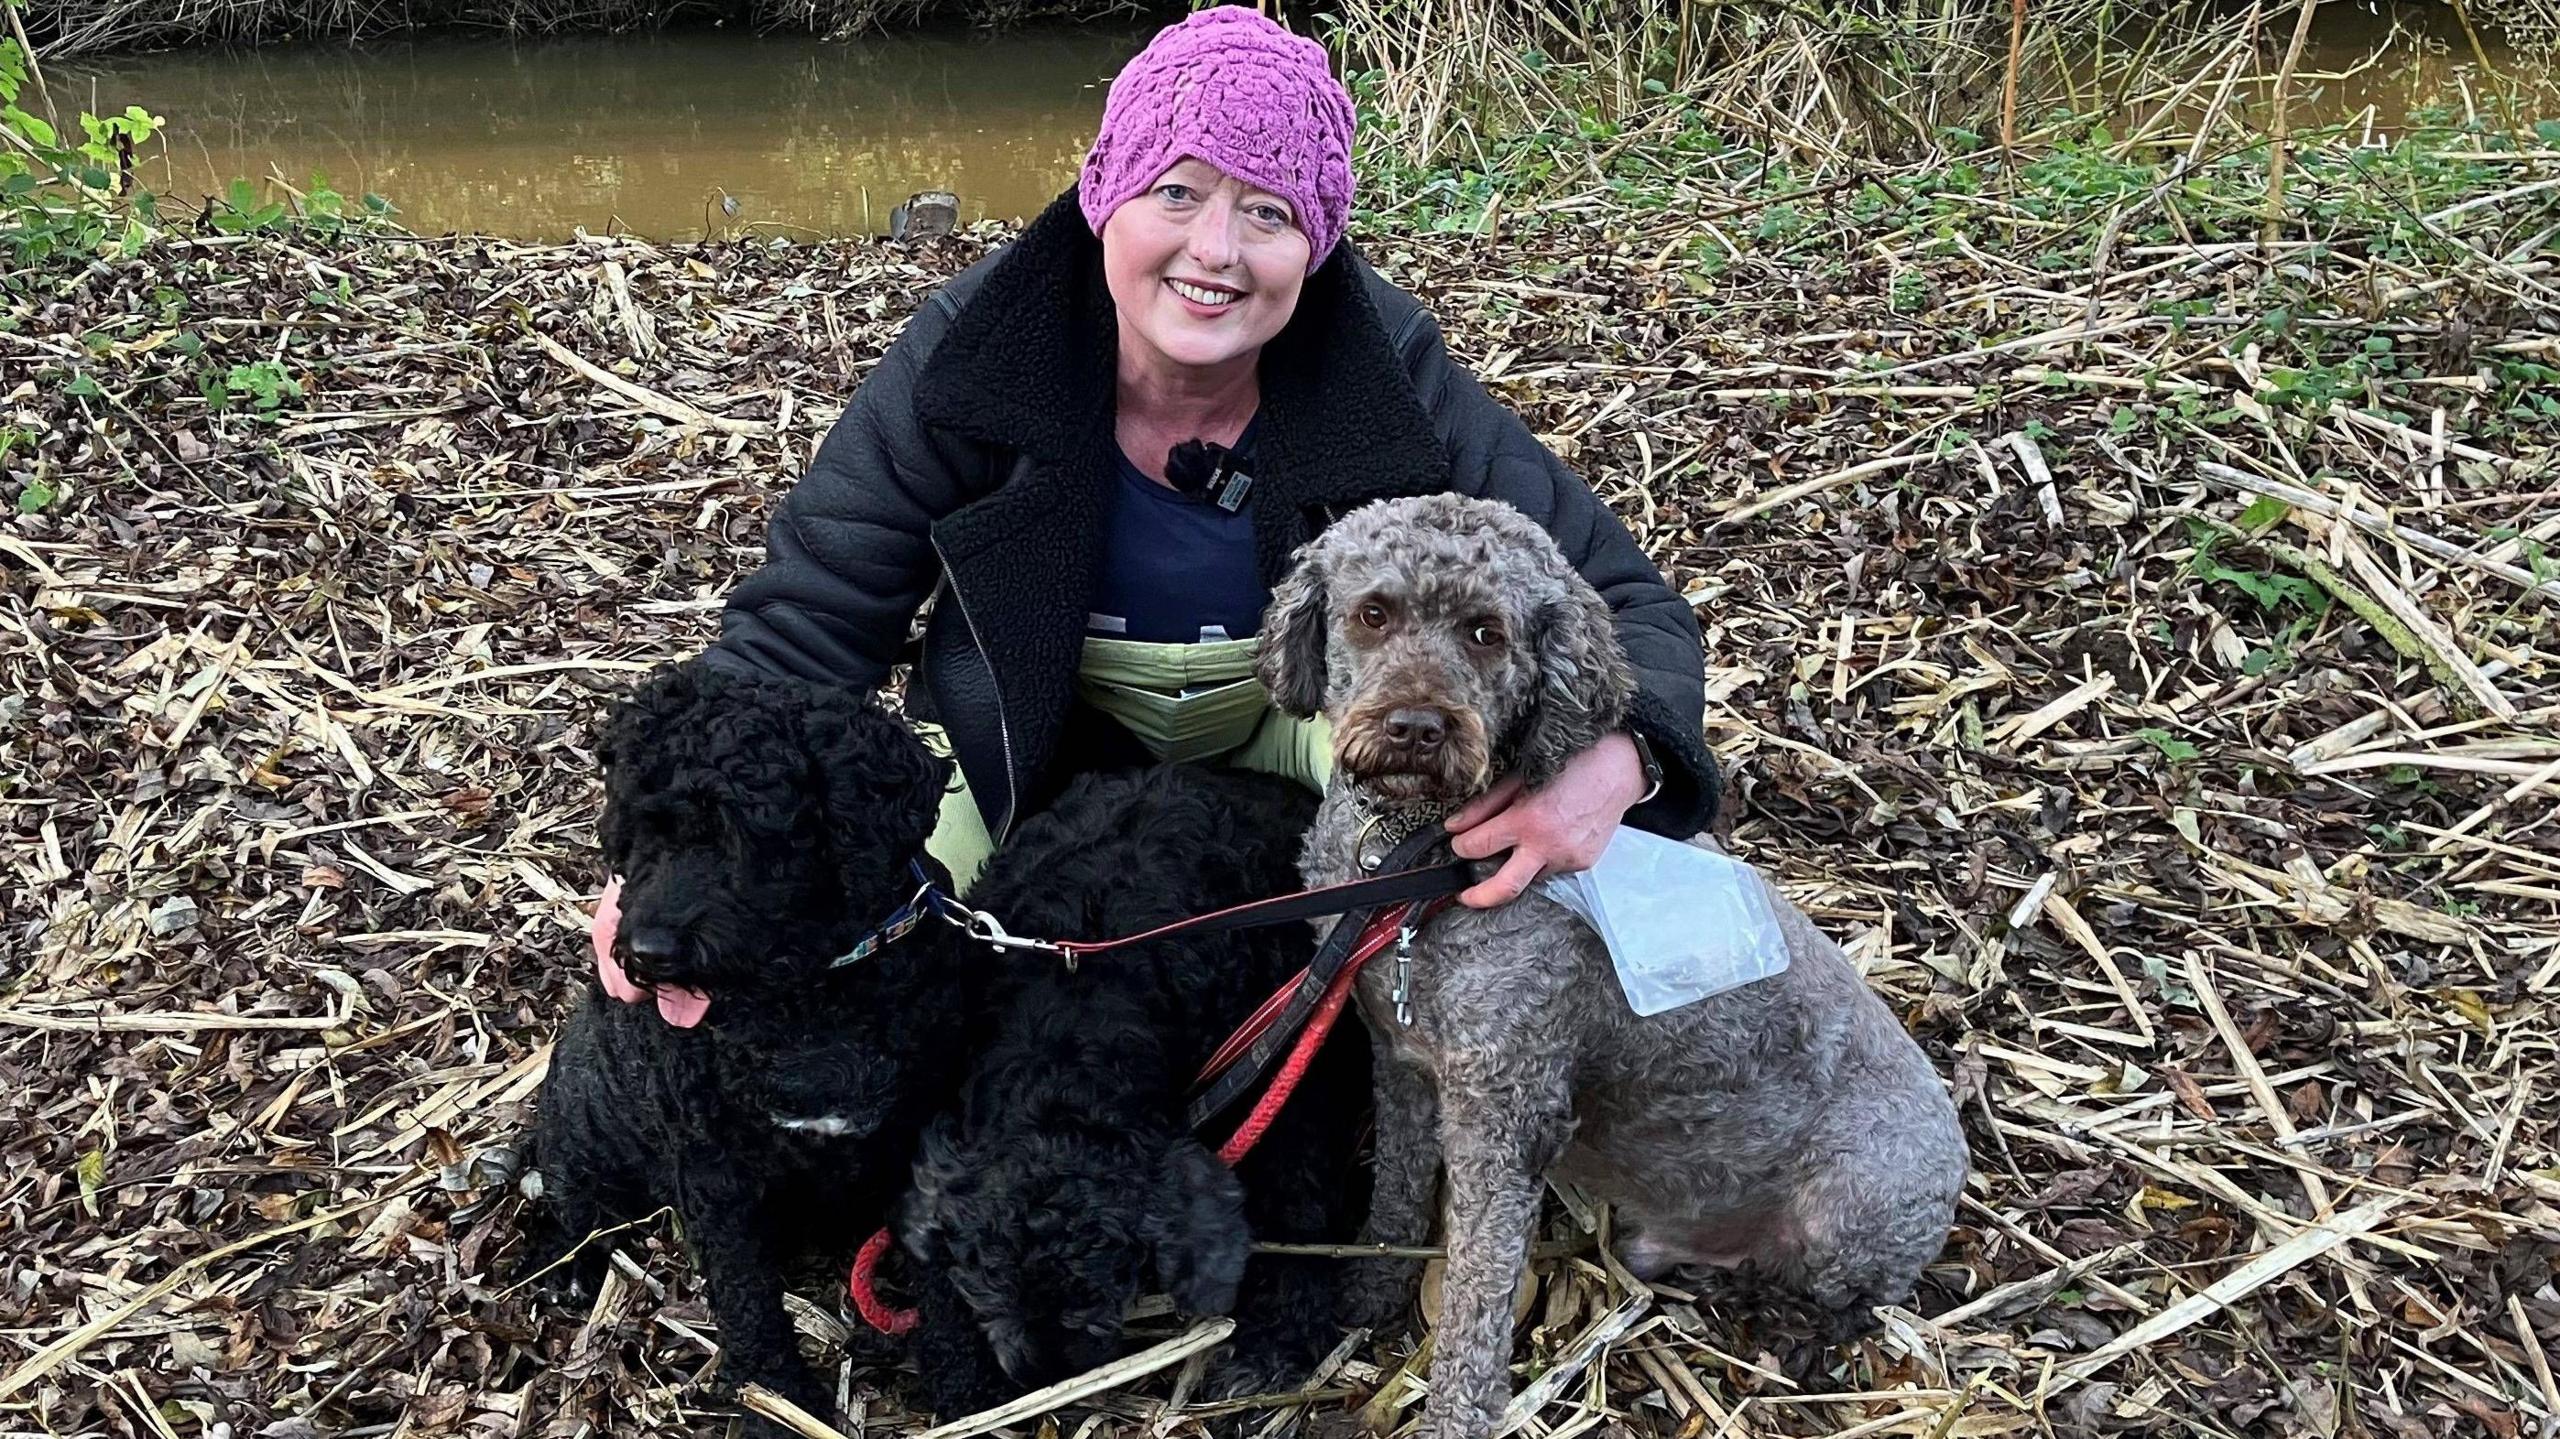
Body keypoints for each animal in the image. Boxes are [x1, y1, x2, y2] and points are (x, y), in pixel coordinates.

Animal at [519, 660, 967, 1423]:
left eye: (751, 833)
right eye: (637, 829)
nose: (646, 954)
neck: (809, 1002)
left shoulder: (925, 1129)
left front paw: (968, 1372)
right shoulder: (717, 1173)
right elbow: (746, 1295)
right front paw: (776, 1397)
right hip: (583, 1137)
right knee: (575, 1203)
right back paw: (569, 1266)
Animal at [906, 768, 1372, 1403]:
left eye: (1109, 1273)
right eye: (987, 1274)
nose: (1046, 1370)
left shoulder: (1286, 1069)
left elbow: (1297, 1193)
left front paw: (1278, 1340)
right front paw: (956, 1364)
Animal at [1254, 491, 1955, 1433]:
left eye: (1486, 632)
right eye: (1374, 614)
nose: (1416, 727)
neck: (1419, 855)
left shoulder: (1502, 1113)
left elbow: (1477, 1296)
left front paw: (1453, 1413)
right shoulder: (1400, 1059)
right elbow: (1397, 1188)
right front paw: (1373, 1289)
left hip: (1858, 1202)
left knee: (1852, 1299)